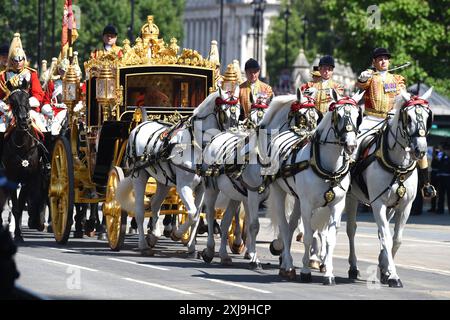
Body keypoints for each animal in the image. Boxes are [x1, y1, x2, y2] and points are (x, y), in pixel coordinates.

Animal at [1, 87, 49, 242]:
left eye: (27, 99)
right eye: (12, 100)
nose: (23, 120)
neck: (22, 145)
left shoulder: (27, 179)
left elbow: (21, 206)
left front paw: (18, 233)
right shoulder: (11, 178)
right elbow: (15, 207)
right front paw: (16, 233)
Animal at [118, 86, 241, 256]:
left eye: (240, 111)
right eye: (224, 112)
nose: (234, 137)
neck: (196, 144)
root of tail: (142, 124)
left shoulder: (201, 188)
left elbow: (196, 214)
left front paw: (190, 246)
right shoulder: (184, 186)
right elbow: (192, 214)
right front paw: (178, 234)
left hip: (163, 182)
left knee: (155, 205)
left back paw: (153, 236)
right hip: (139, 175)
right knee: (140, 210)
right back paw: (143, 244)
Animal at [268, 89, 362, 284]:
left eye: (358, 116)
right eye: (338, 115)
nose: (351, 145)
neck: (328, 167)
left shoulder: (336, 205)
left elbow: (329, 239)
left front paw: (329, 274)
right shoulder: (308, 204)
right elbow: (308, 237)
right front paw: (305, 271)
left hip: (297, 199)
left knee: (290, 226)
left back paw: (286, 264)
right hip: (279, 192)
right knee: (284, 226)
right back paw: (288, 265)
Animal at [346, 87, 434, 288]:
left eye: (428, 117)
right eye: (408, 117)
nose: (420, 150)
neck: (397, 165)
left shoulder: (404, 206)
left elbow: (395, 239)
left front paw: (385, 269)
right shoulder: (378, 204)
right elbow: (385, 236)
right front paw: (393, 275)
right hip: (351, 198)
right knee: (351, 229)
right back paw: (352, 267)